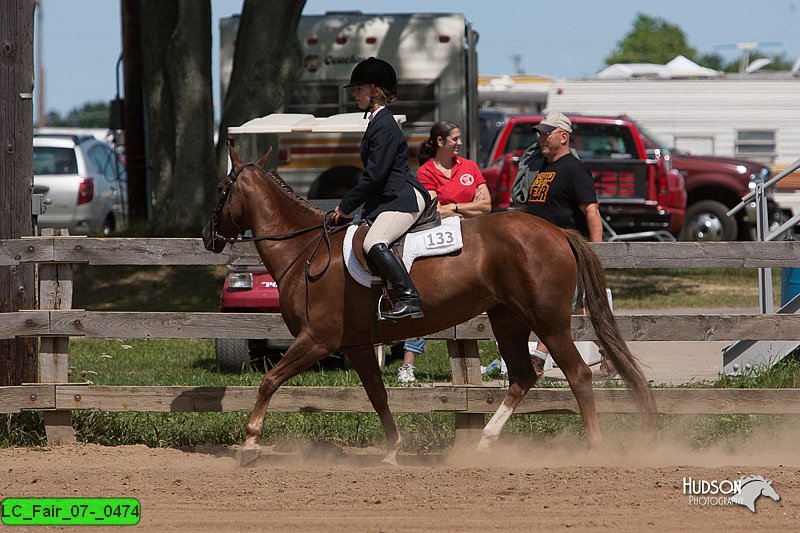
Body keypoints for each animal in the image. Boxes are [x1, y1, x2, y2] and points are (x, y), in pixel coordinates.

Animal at [202, 144, 656, 462]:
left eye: (222, 190)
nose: (208, 237)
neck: (304, 250)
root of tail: (558, 232)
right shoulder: (357, 346)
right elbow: (378, 396)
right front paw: (392, 451)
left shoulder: (317, 339)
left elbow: (269, 380)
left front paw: (250, 442)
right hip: (508, 320)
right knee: (523, 376)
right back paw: (485, 443)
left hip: (549, 321)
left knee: (578, 374)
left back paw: (593, 448)